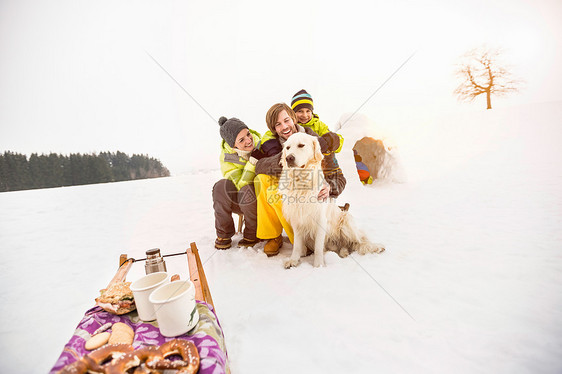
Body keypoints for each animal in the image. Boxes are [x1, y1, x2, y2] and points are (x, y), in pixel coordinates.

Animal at [278, 133, 382, 268]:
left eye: (301, 145)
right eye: (288, 148)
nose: (289, 158)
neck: (302, 181)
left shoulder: (320, 220)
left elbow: (318, 247)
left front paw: (318, 266)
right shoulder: (297, 219)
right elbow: (296, 245)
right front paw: (293, 260)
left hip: (346, 219)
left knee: (360, 240)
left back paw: (376, 247)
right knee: (346, 246)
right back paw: (344, 252)